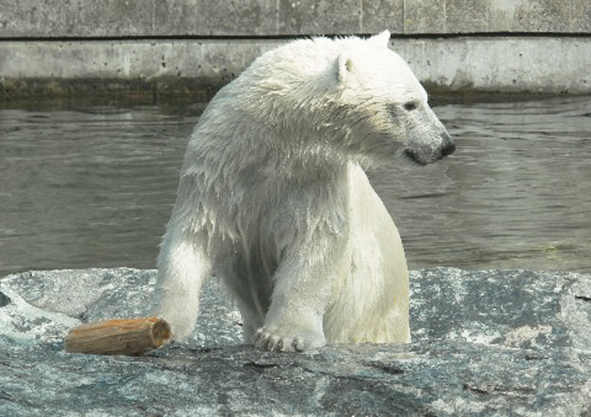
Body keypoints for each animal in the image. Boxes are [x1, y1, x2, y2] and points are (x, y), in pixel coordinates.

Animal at [151, 30, 454, 352]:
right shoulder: (218, 168)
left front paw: (284, 335)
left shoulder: (315, 177)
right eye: (410, 104)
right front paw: (166, 326)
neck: (277, 135)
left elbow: (314, 245)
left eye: (424, 98)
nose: (445, 144)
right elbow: (194, 235)